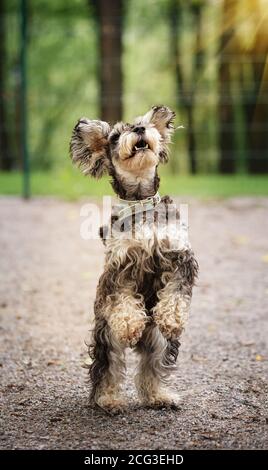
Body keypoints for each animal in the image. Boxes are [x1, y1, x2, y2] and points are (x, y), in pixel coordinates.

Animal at [70, 105, 198, 412]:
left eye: (142, 124)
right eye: (116, 135)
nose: (139, 130)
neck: (141, 202)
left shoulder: (180, 258)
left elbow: (176, 294)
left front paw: (173, 318)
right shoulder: (119, 267)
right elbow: (123, 299)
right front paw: (130, 324)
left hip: (159, 341)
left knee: (153, 366)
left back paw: (159, 396)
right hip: (106, 336)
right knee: (107, 367)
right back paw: (108, 399)